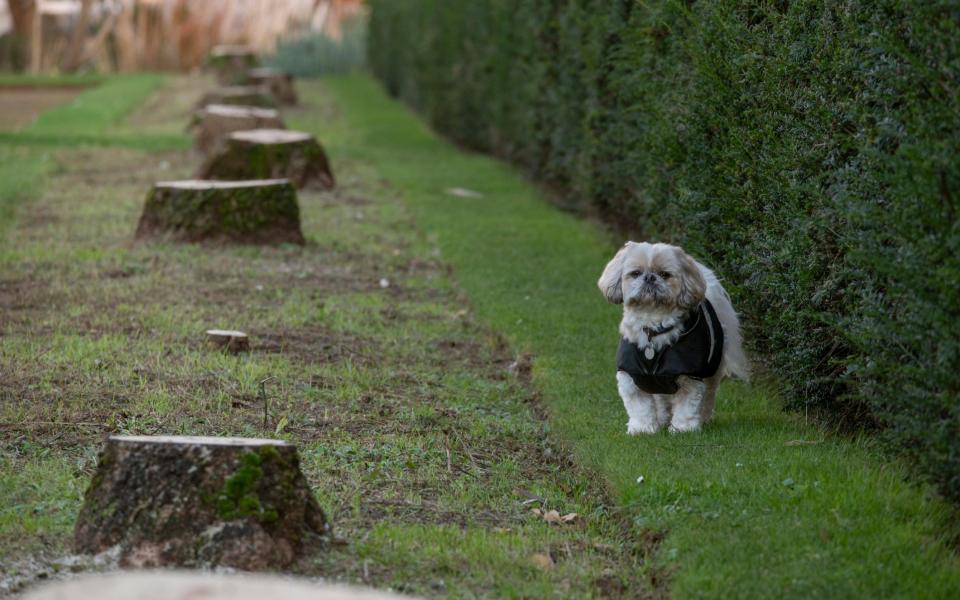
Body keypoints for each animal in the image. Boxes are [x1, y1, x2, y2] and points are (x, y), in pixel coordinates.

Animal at [596, 241, 748, 434]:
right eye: (635, 273)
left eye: (664, 274)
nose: (649, 277)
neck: (653, 328)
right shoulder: (631, 378)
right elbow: (640, 407)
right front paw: (643, 428)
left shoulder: (690, 377)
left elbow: (687, 404)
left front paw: (683, 428)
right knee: (661, 398)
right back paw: (662, 418)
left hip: (713, 368)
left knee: (709, 394)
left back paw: (703, 418)